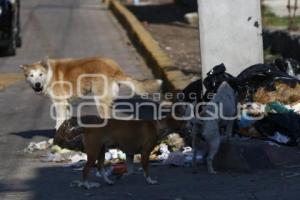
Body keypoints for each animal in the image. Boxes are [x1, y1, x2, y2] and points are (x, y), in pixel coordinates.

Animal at [19, 56, 162, 129]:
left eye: (40, 74)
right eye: (31, 76)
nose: (37, 84)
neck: (50, 75)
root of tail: (115, 69)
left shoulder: (59, 103)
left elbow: (59, 123)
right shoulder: (66, 103)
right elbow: (66, 121)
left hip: (99, 100)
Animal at [56, 115, 185, 187]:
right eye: (181, 121)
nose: (188, 124)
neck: (157, 125)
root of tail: (87, 127)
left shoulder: (129, 154)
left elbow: (131, 170)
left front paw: (123, 176)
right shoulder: (145, 153)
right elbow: (146, 170)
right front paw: (150, 181)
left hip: (101, 151)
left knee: (100, 168)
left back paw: (108, 181)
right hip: (94, 152)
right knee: (86, 169)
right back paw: (86, 184)